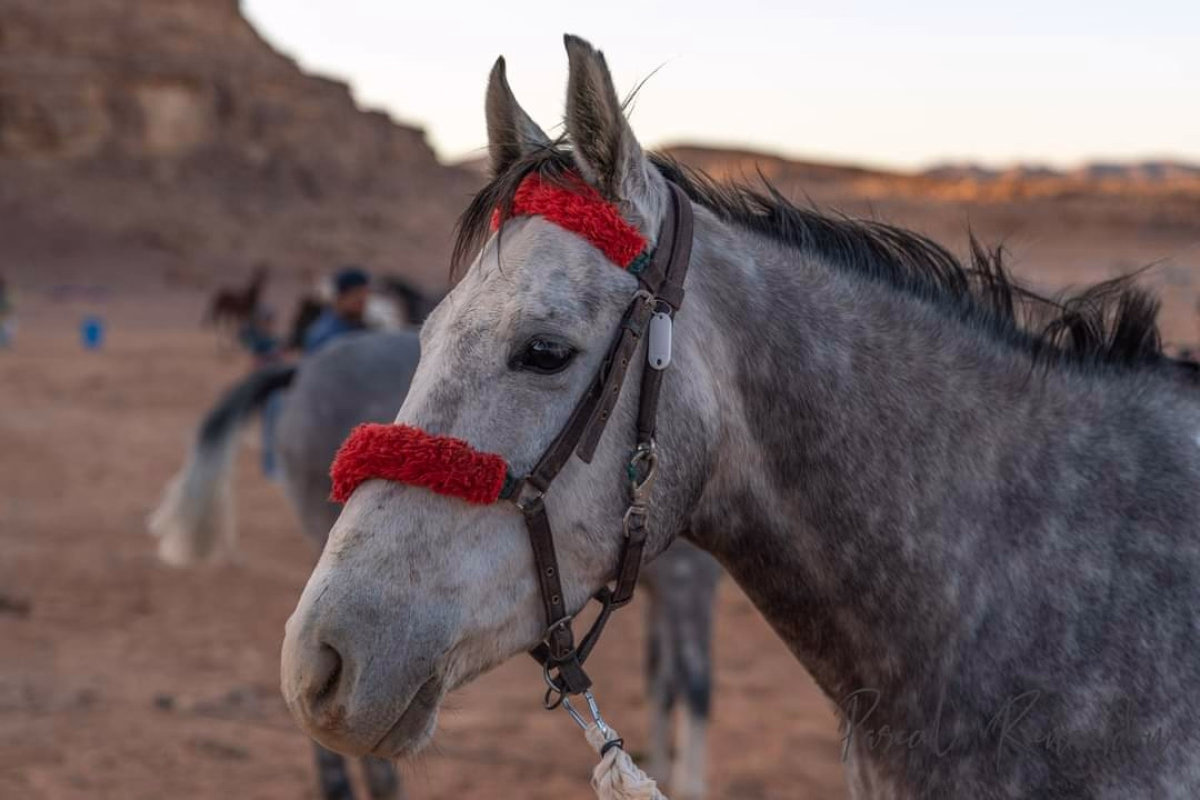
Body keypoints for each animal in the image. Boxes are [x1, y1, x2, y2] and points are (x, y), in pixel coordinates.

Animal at [149, 329, 722, 799]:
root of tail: (304, 366)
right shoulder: (687, 582)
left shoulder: (660, 589)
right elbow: (694, 685)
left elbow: (661, 678)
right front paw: (690, 781)